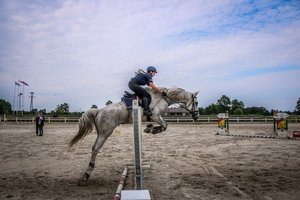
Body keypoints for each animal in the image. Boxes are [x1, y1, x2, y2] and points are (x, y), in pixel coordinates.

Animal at [69, 86, 198, 185]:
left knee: (94, 148)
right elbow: (165, 126)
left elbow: (164, 126)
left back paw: (86, 174)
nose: (196, 116)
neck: (163, 98)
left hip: (101, 133)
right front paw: (151, 130)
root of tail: (99, 110)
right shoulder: (156, 116)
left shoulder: (156, 118)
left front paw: (149, 127)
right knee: (96, 149)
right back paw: (87, 174)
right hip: (105, 133)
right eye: (196, 103)